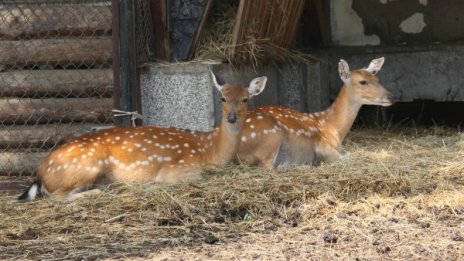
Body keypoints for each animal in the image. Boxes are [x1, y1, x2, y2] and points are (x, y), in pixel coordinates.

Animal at [18, 70, 266, 199]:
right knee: (57, 196)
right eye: (222, 98)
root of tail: (41, 172)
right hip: (86, 165)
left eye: (245, 99)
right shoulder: (178, 169)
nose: (231, 117)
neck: (209, 149)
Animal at [237, 57, 394, 168]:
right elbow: (347, 157)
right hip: (270, 139)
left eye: (377, 78)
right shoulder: (323, 147)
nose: (390, 96)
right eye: (363, 82)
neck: (333, 129)